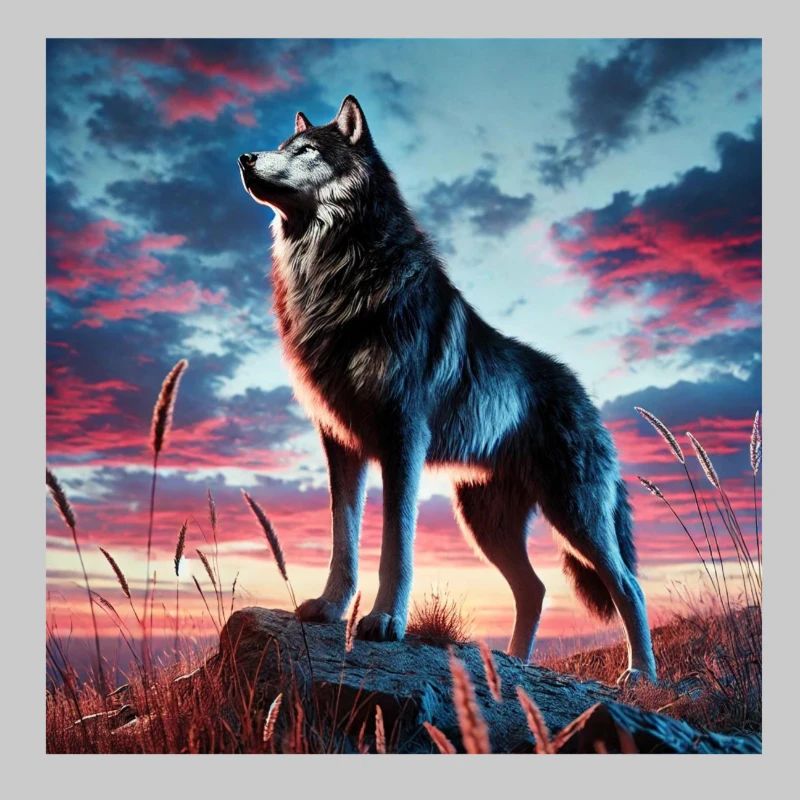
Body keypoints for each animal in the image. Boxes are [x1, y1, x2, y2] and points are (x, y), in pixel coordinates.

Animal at [239, 96, 657, 684]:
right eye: (282, 146)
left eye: (307, 151)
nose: (245, 157)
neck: (336, 273)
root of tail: (585, 396)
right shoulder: (339, 442)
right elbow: (344, 537)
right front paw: (330, 607)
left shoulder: (403, 439)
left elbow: (397, 542)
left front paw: (385, 621)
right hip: (487, 525)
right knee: (535, 589)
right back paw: (513, 663)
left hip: (574, 515)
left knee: (630, 585)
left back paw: (641, 676)